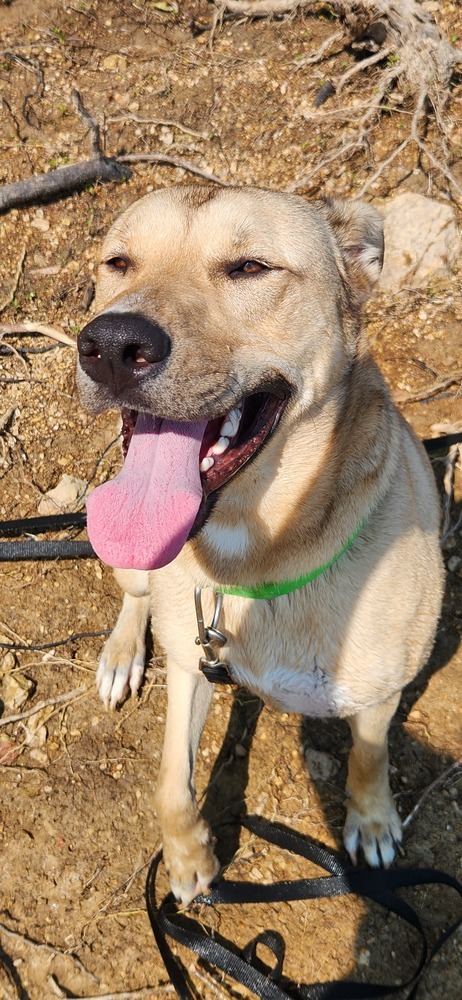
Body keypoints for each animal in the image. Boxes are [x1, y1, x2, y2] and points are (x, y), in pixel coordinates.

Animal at [76, 184, 444, 904]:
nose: (110, 344)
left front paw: (372, 820)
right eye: (118, 263)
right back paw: (121, 654)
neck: (255, 557)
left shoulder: (380, 689)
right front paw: (187, 856)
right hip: (125, 565)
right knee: (134, 598)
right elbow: (170, 781)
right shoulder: (190, 666)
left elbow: (369, 754)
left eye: (249, 268)